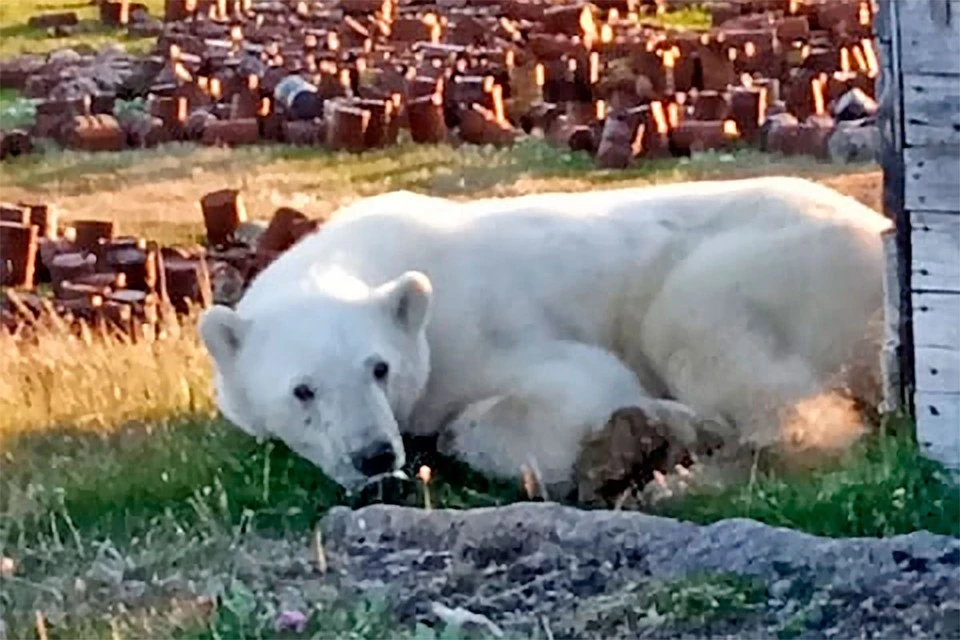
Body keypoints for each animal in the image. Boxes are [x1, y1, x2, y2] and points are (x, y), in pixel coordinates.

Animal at [199, 178, 896, 492]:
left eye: (379, 367)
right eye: (303, 390)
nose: (373, 455)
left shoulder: (478, 327)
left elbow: (575, 385)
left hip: (773, 263)